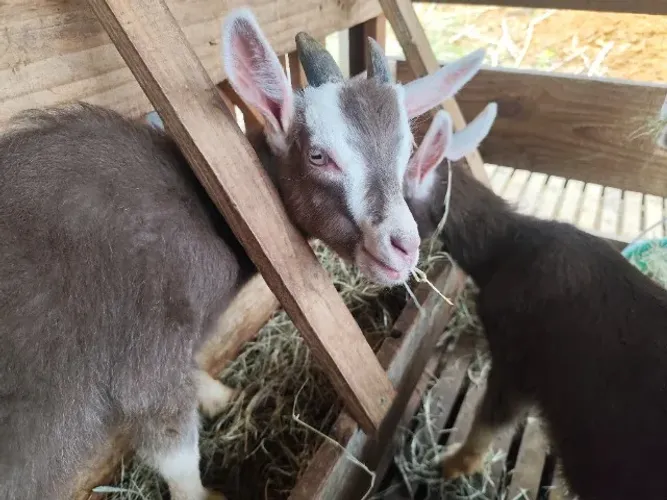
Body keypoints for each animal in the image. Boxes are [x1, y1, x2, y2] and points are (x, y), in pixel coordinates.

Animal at [0, 7, 489, 500]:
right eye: (318, 156)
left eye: (407, 152)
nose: (404, 246)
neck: (205, 202)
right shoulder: (147, 349)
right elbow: (172, 444)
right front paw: (205, 492)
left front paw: (219, 396)